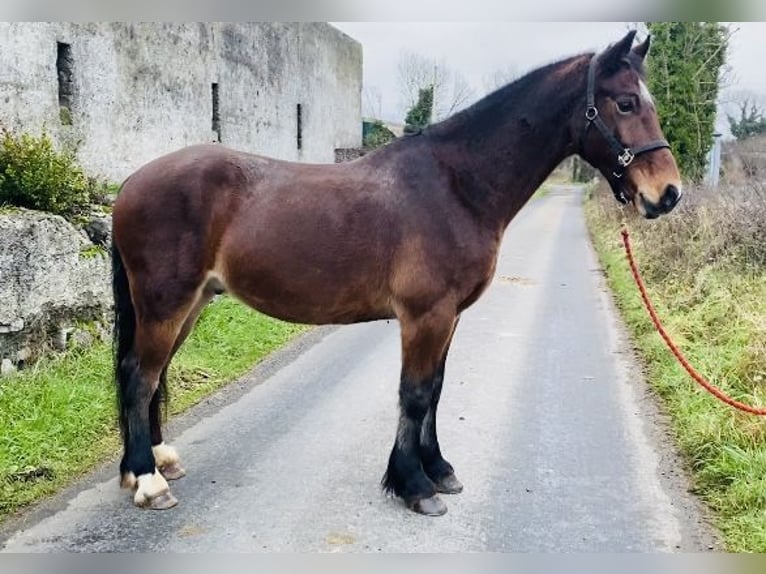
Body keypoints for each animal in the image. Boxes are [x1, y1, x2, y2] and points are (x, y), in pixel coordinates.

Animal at [112, 30, 684, 516]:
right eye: (625, 103)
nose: (669, 194)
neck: (455, 185)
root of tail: (131, 182)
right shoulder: (425, 316)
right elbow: (414, 394)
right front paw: (414, 485)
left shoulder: (450, 317)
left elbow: (436, 390)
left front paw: (439, 470)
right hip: (166, 304)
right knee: (141, 377)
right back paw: (148, 481)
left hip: (190, 304)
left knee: (152, 376)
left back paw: (156, 462)